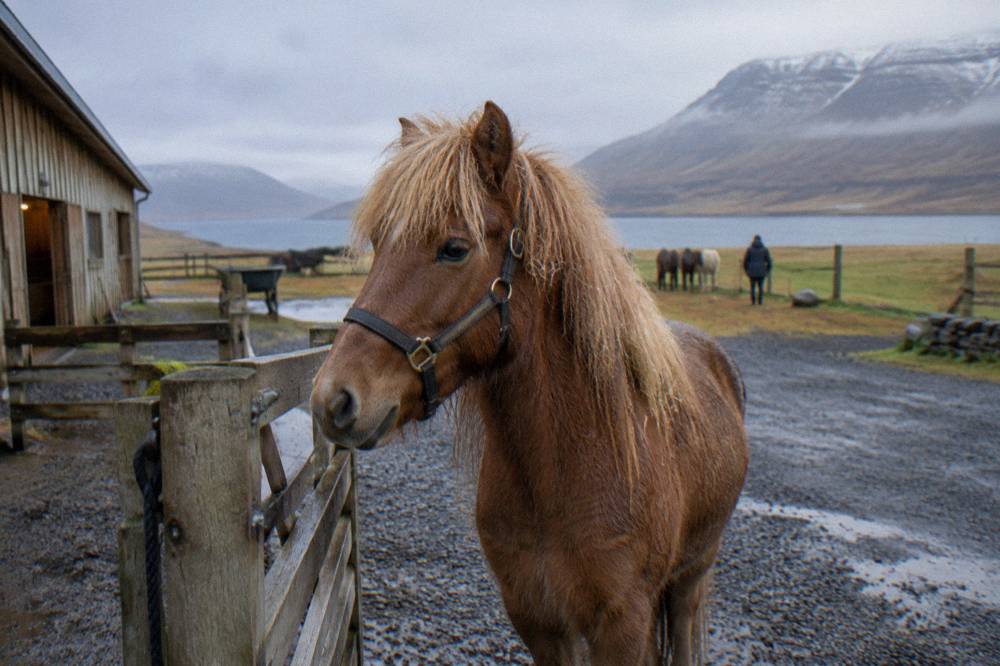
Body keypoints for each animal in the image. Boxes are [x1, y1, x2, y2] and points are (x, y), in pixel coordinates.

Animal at [311, 102, 748, 665]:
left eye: (455, 248)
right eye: (379, 243)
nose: (332, 398)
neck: (561, 473)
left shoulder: (624, 626)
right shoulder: (537, 621)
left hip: (693, 574)